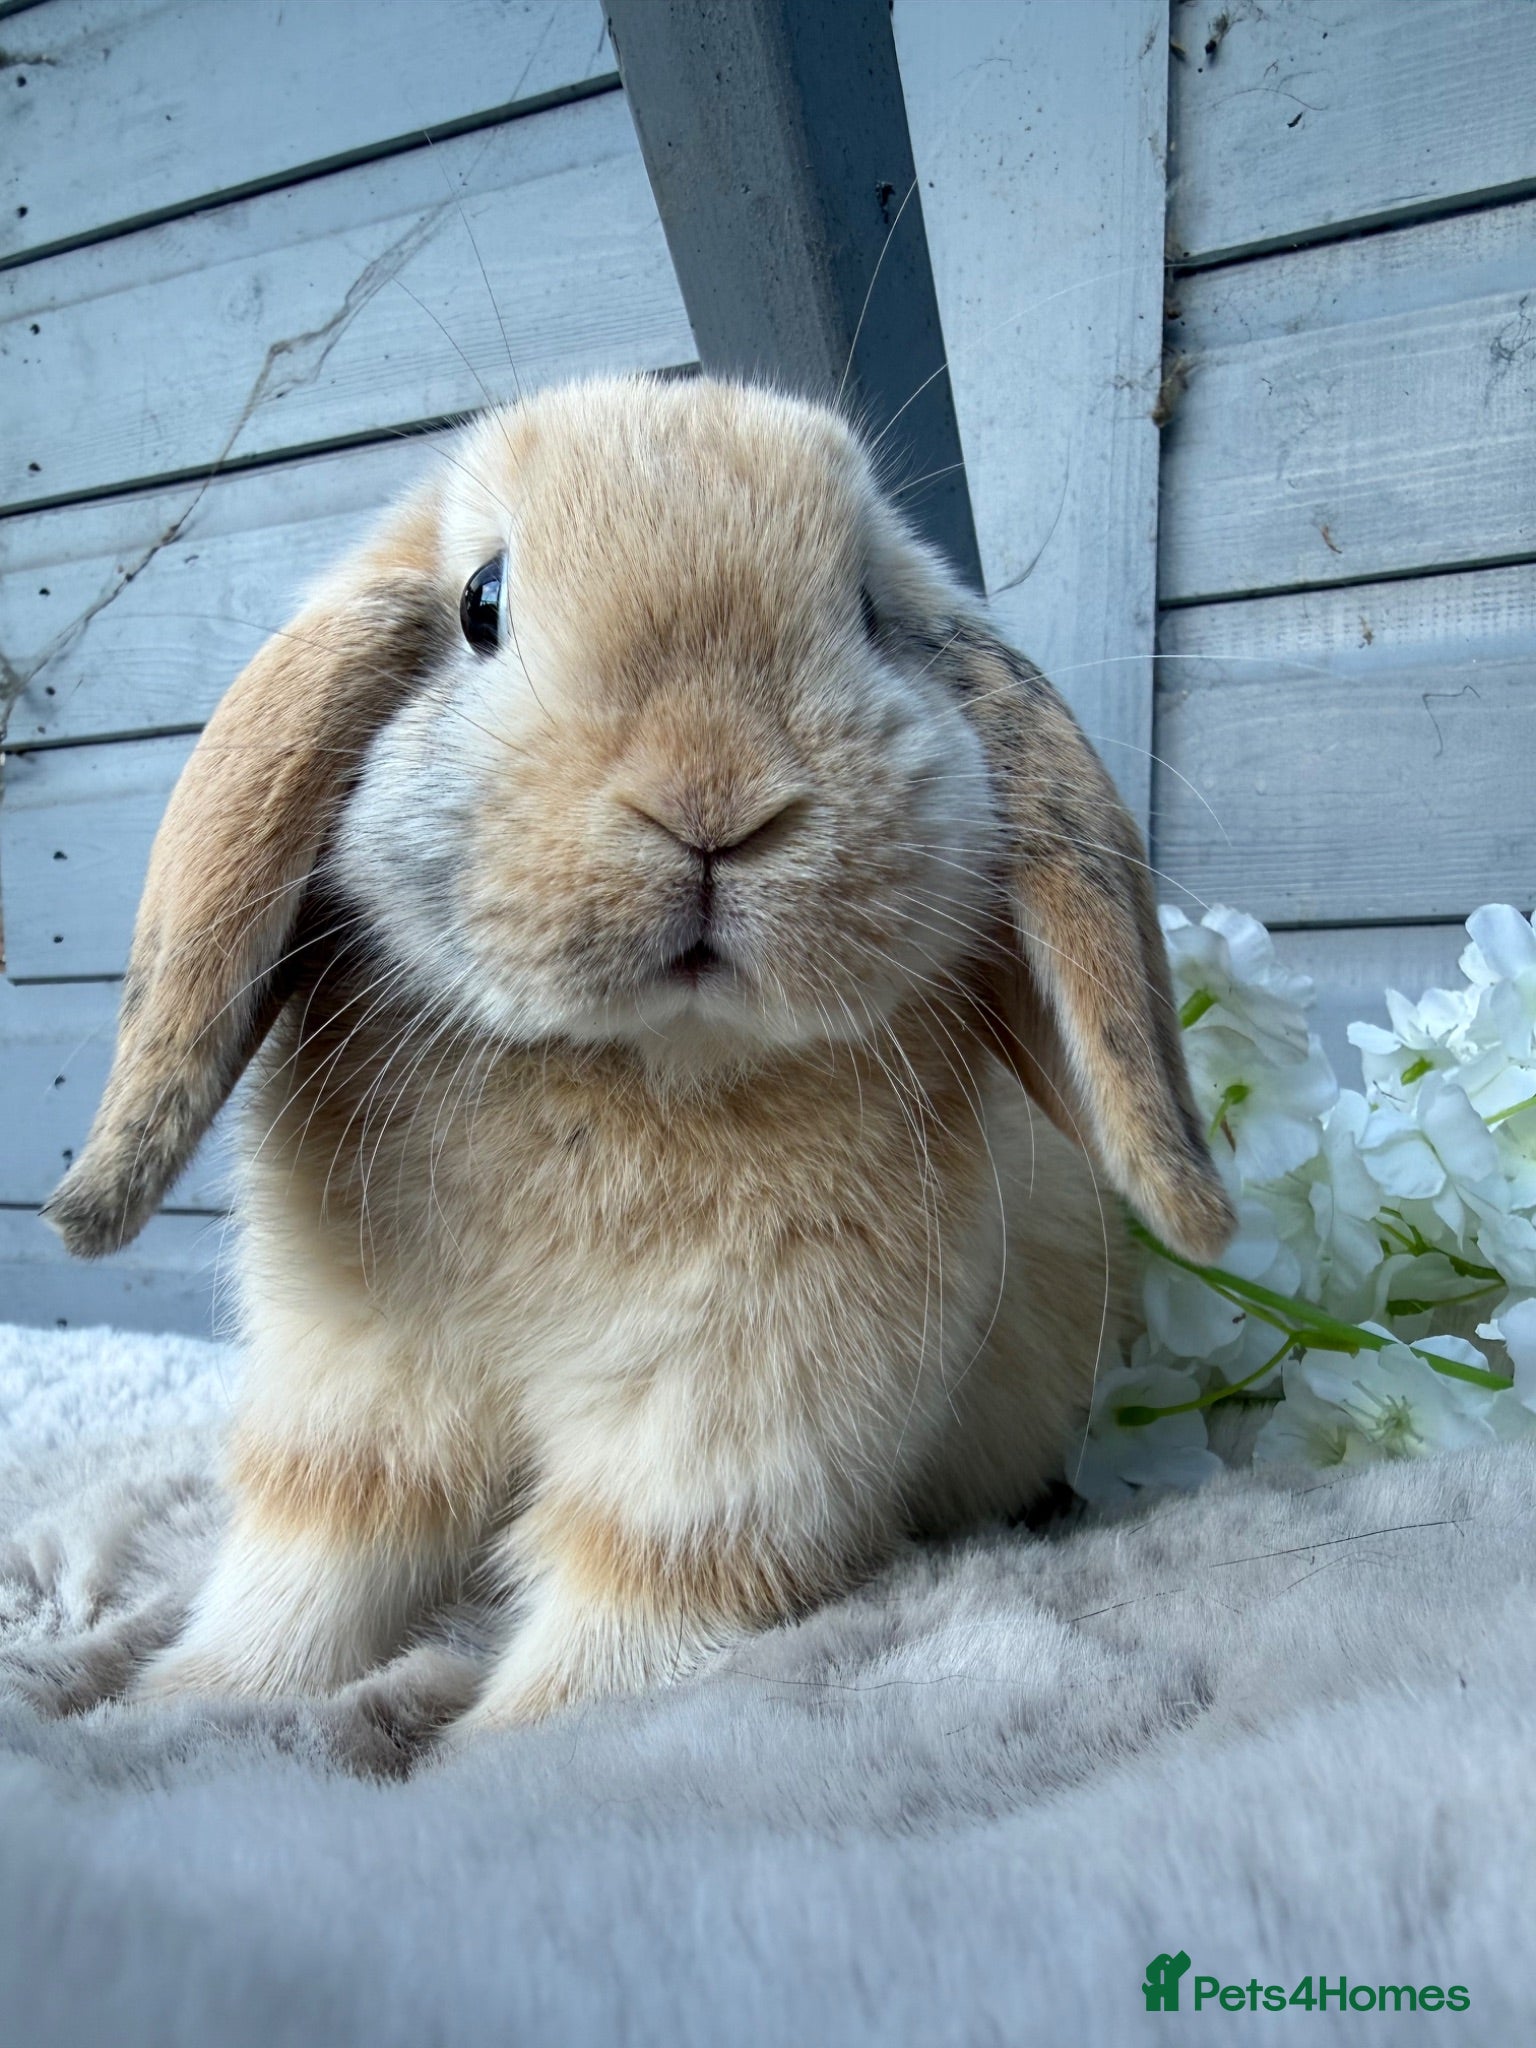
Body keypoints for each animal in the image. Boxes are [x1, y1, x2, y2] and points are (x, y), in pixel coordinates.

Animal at [44, 375, 1233, 1731]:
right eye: (482, 602)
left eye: (871, 614)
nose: (712, 800)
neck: (628, 1067)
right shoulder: (352, 1387)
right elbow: (313, 1555)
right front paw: (193, 1702)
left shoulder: (736, 1446)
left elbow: (620, 1621)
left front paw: (488, 1743)